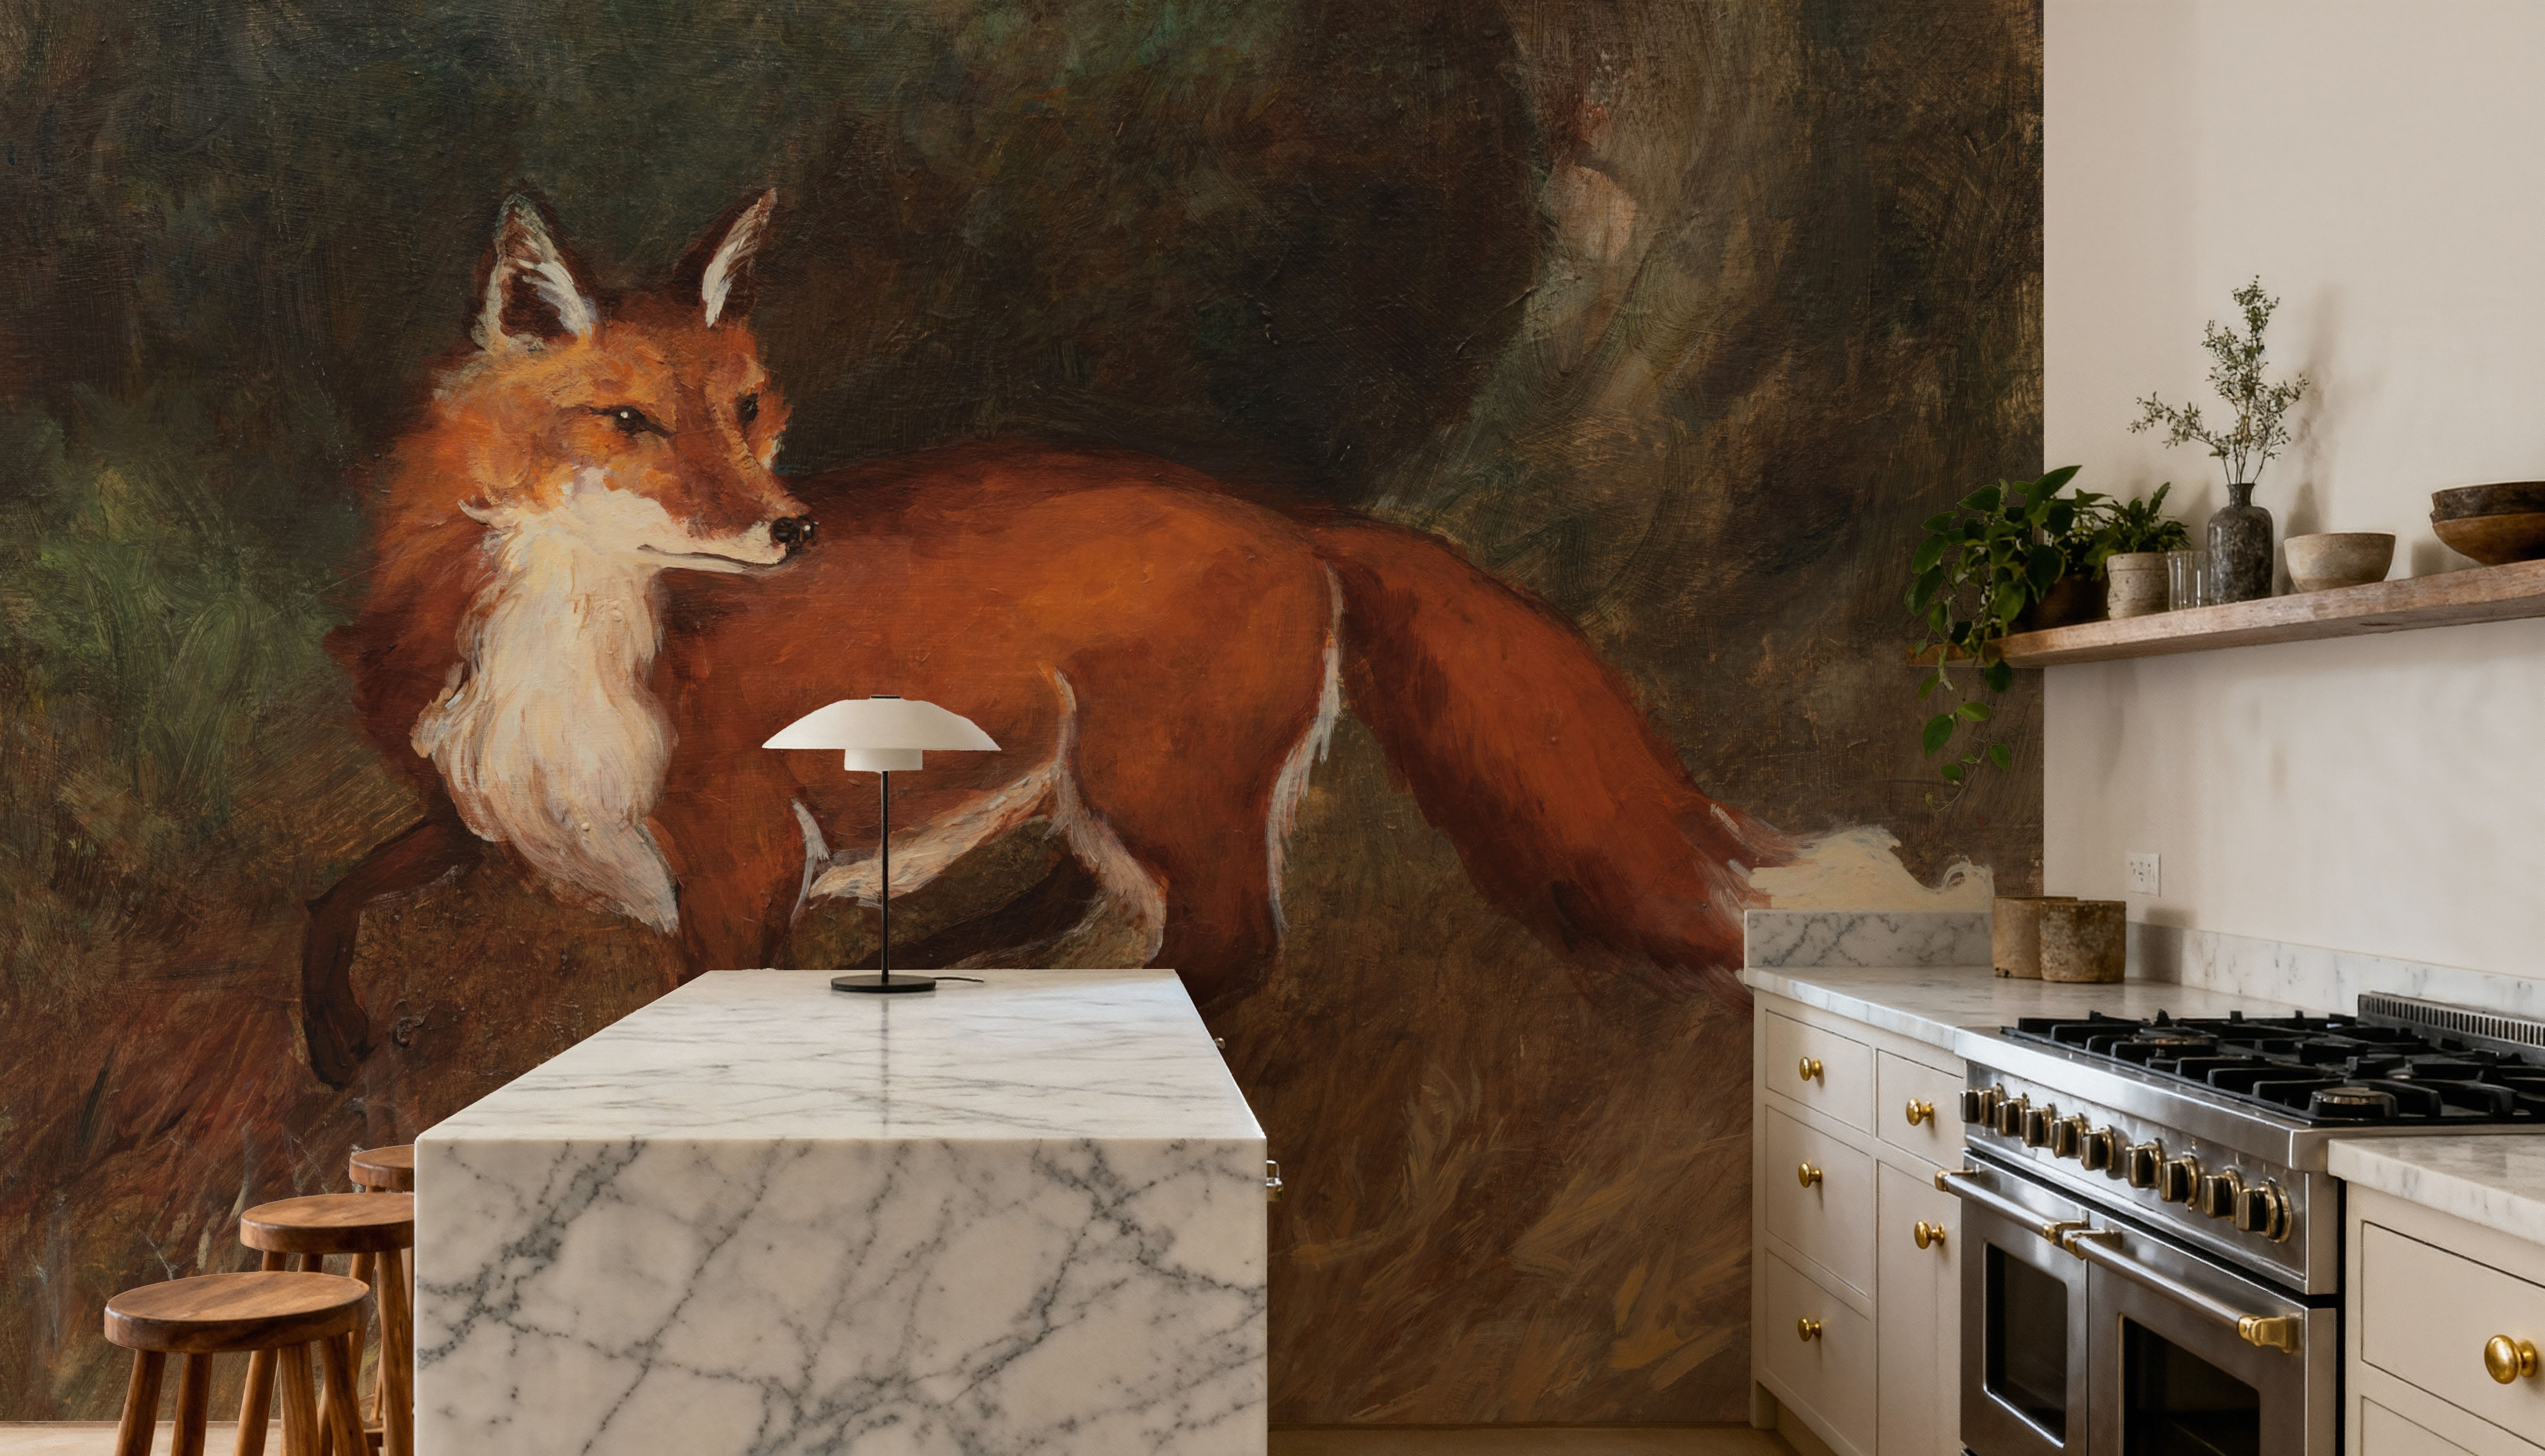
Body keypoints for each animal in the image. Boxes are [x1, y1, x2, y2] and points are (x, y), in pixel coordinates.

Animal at [302, 189, 1811, 1087]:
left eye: (744, 411)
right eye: (629, 422)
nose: (794, 531)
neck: (568, 656)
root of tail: (1289, 513)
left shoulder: (738, 866)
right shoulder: (475, 817)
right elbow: (332, 896)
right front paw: (334, 1045)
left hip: (1159, 781)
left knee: (1223, 951)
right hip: (1101, 790)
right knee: (1099, 907)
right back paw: (978, 967)